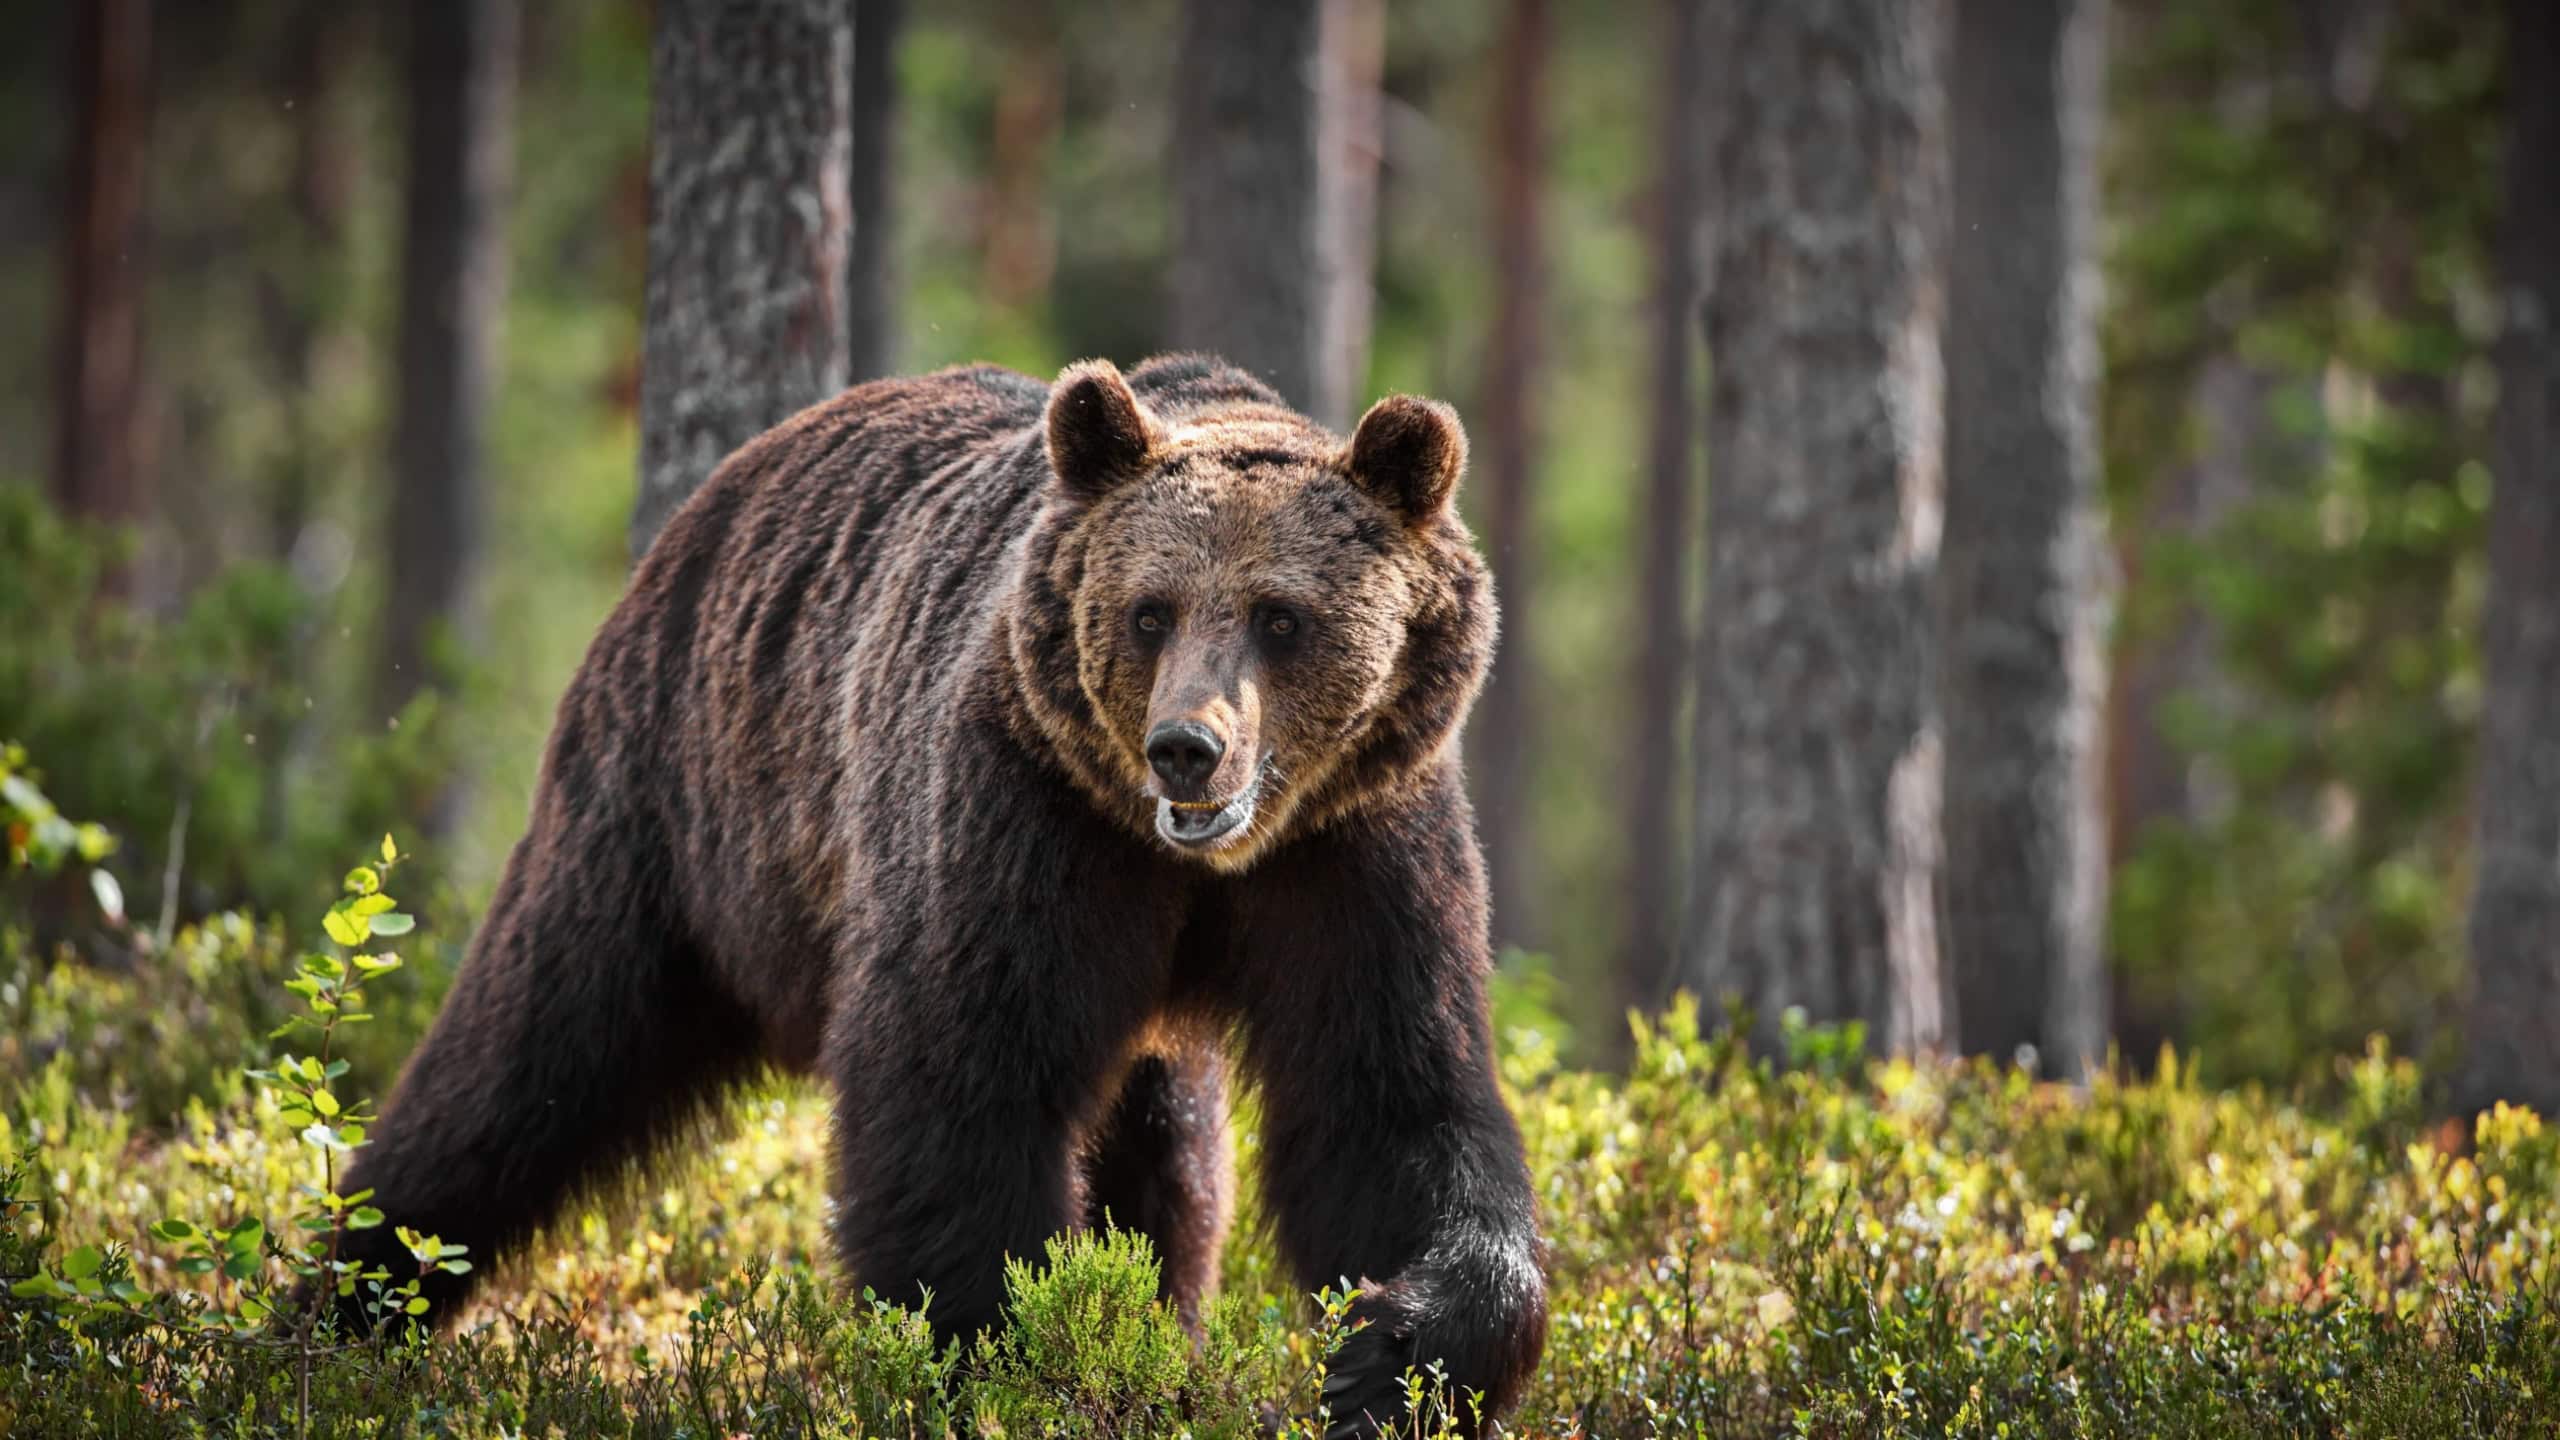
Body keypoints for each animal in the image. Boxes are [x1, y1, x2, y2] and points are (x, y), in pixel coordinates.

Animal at [334, 354, 1548, 1434]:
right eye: (1150, 611)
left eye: (1280, 616)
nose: (1185, 750)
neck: (1192, 866)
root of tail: (710, 502)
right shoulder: (1017, 810)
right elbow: (959, 1081)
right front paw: (1011, 1351)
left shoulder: (1354, 848)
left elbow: (1389, 1103)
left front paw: (1390, 1358)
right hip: (670, 816)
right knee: (525, 1056)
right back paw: (351, 1292)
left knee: (1167, 1152)